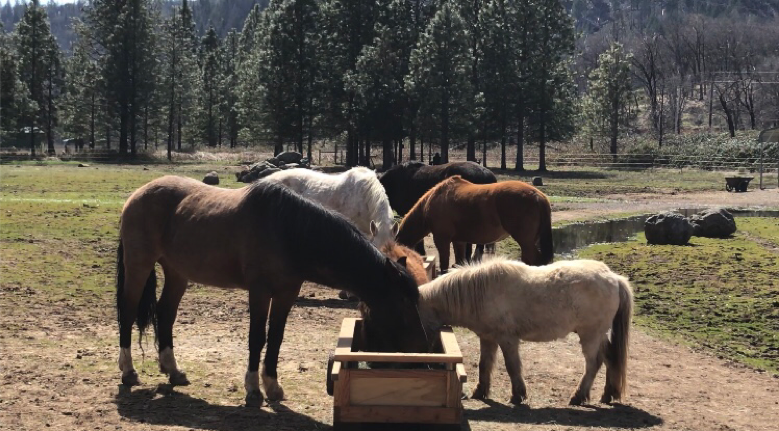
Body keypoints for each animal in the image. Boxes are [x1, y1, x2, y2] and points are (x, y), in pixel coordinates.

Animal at [118, 176, 430, 404]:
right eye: (403, 302)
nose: (421, 349)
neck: (288, 230)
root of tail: (138, 194)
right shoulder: (259, 292)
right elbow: (257, 337)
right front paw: (254, 388)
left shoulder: (286, 293)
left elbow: (276, 338)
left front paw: (272, 386)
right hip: (139, 264)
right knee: (128, 311)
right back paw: (129, 371)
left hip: (177, 273)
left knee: (165, 314)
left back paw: (173, 370)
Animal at [396, 176, 556, 274]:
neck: (431, 202)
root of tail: (538, 196)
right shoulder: (459, 241)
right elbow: (459, 261)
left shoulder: (442, 239)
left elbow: (444, 263)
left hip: (525, 241)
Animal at [418, 258, 632, 406]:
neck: (482, 292)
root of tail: (614, 278)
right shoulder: (487, 338)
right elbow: (484, 365)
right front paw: (480, 392)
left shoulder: (507, 339)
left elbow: (512, 367)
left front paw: (517, 395)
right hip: (599, 335)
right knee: (610, 359)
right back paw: (607, 395)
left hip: (590, 335)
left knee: (593, 364)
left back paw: (578, 397)